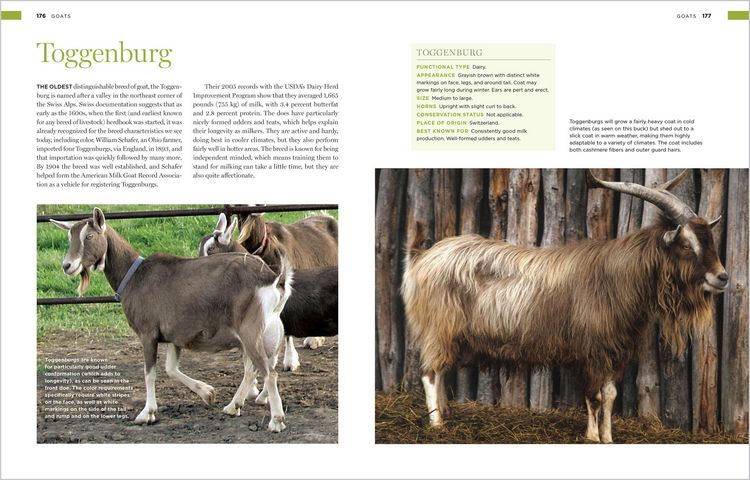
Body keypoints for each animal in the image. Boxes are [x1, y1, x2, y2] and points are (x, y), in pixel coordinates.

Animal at [50, 208, 292, 432]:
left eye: (89, 236)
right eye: (69, 237)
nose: (67, 266)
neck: (134, 276)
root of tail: (274, 278)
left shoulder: (148, 333)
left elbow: (150, 373)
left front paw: (147, 413)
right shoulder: (175, 335)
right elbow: (171, 369)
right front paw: (208, 393)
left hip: (251, 331)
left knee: (269, 372)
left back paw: (276, 420)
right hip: (265, 333)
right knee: (255, 368)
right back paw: (234, 406)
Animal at [401, 170, 728, 443]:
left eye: (710, 240)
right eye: (686, 245)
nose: (722, 277)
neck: (615, 279)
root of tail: (421, 259)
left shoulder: (614, 351)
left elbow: (610, 394)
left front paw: (608, 438)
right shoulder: (591, 352)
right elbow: (594, 396)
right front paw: (593, 437)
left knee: (440, 372)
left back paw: (445, 414)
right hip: (439, 329)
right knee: (430, 372)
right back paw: (437, 425)